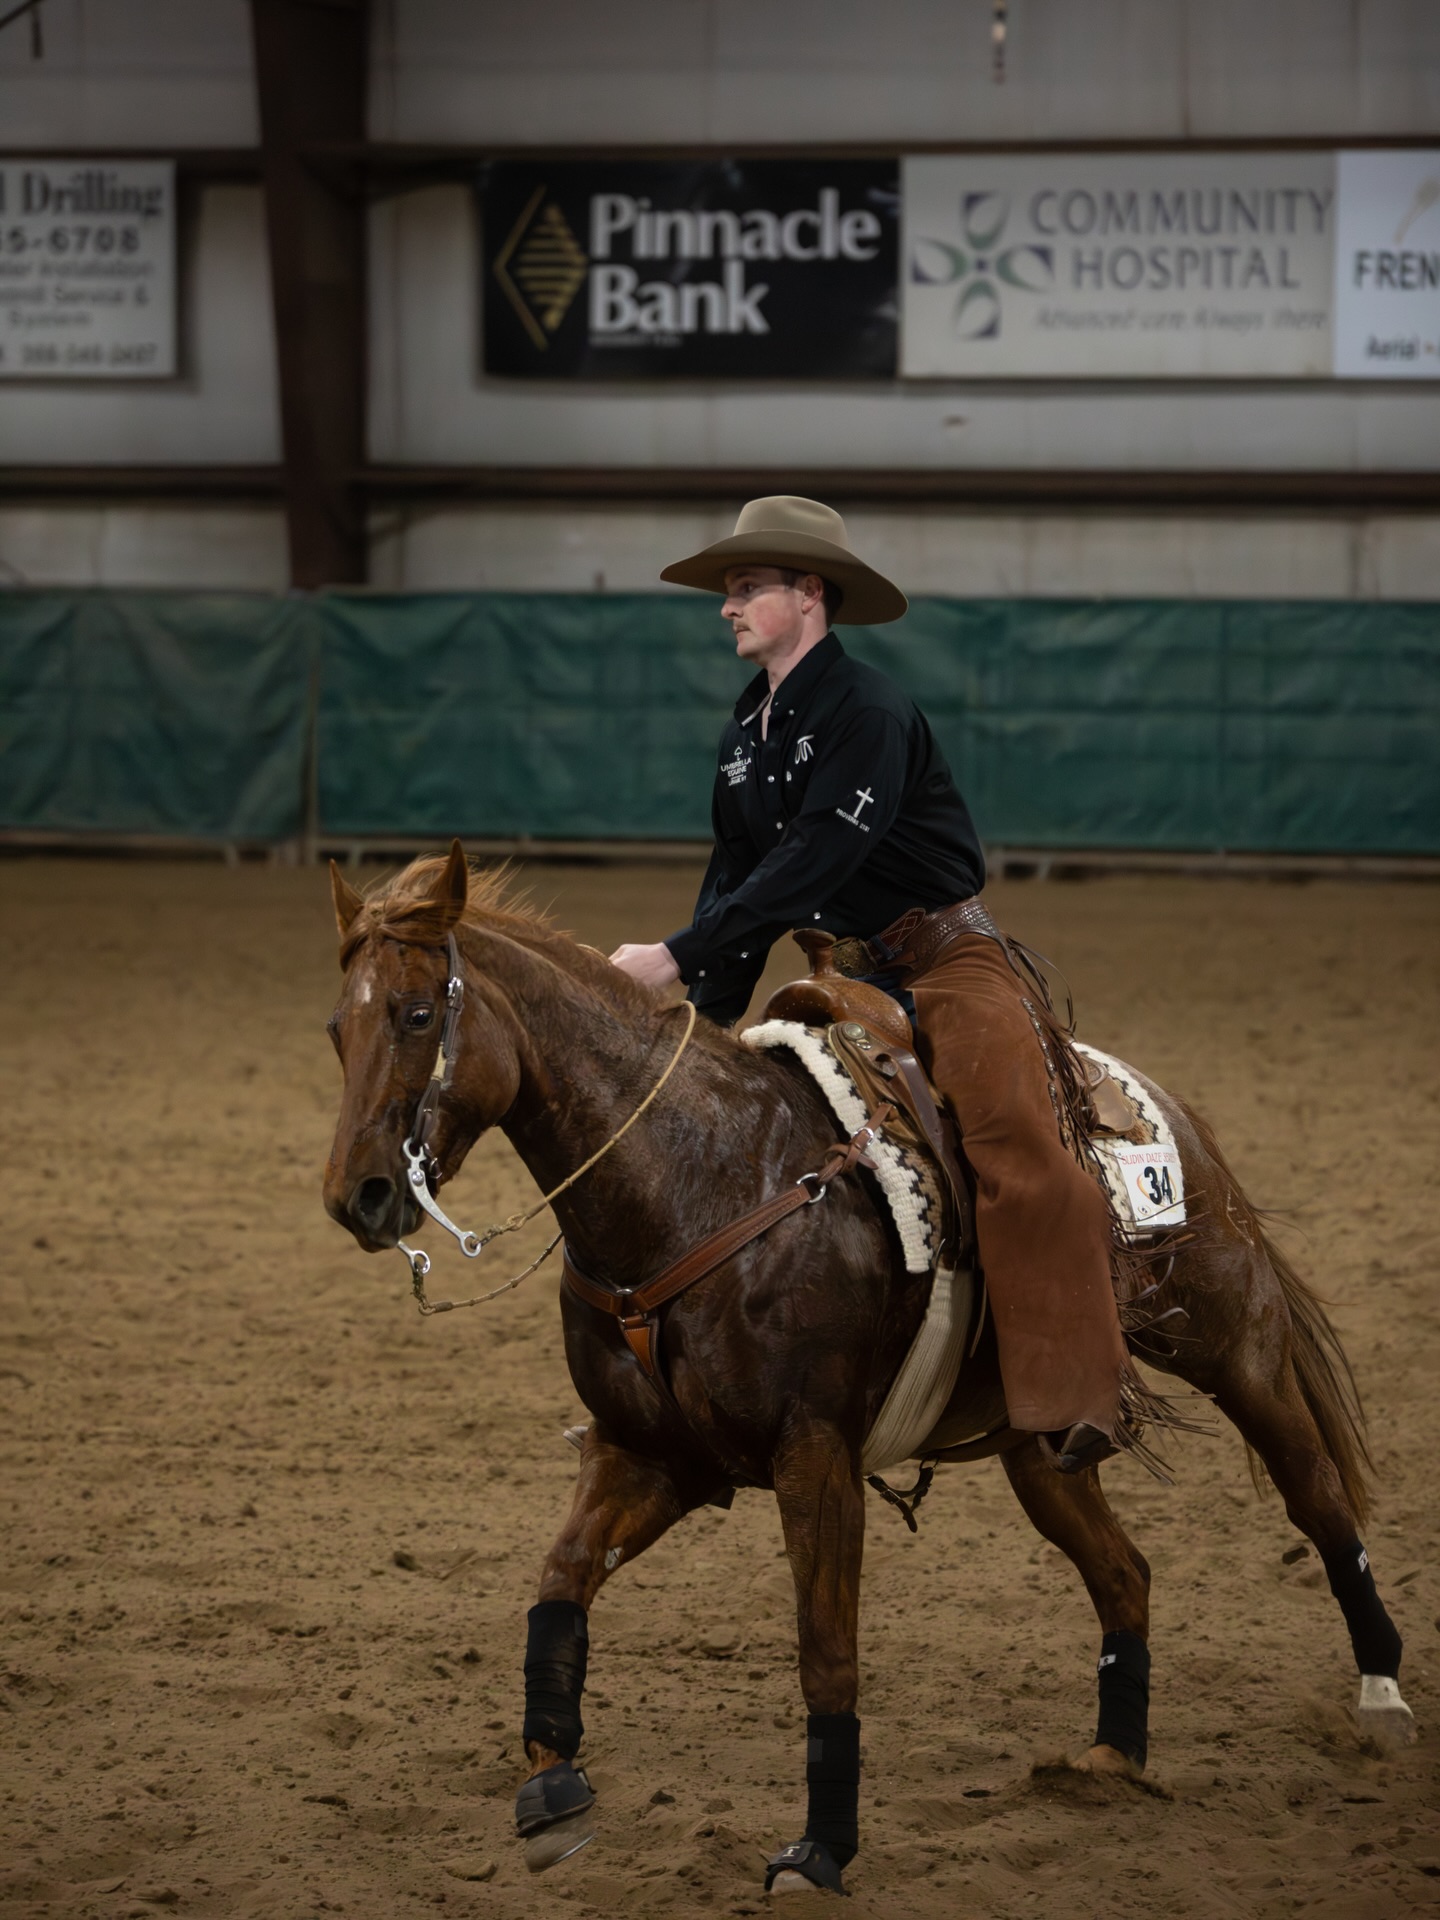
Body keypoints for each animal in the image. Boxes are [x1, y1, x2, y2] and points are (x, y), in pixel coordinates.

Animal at [321, 844, 1414, 1896]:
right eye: (337, 1026)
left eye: (417, 1013)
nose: (357, 1196)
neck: (700, 1179)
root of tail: (1165, 1106)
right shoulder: (650, 1454)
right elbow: (561, 1583)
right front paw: (551, 1785)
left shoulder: (816, 1458)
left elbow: (826, 1655)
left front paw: (821, 1851)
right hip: (1042, 1440)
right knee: (1124, 1570)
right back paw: (1113, 1757)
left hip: (1237, 1345)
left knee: (1317, 1495)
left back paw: (1381, 1693)